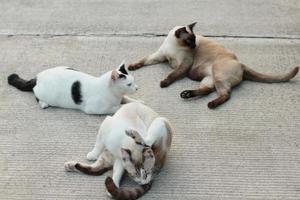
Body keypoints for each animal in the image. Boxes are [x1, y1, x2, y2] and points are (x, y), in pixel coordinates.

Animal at [7, 63, 139, 115]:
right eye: (129, 84)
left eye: (133, 81)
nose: (137, 88)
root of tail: (37, 77)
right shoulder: (95, 109)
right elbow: (117, 107)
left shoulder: (121, 97)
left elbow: (126, 99)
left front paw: (137, 101)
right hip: (44, 94)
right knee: (36, 94)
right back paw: (43, 104)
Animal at [128, 22, 298, 108]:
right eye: (189, 40)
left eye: (194, 40)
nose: (194, 46)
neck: (173, 47)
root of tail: (240, 63)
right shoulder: (158, 56)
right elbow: (142, 61)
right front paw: (131, 67)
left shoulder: (183, 65)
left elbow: (172, 74)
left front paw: (163, 83)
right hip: (209, 78)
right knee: (207, 90)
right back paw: (186, 94)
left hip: (217, 74)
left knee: (225, 94)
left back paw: (210, 104)